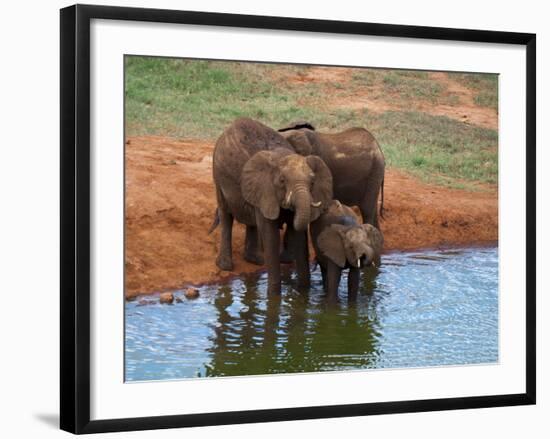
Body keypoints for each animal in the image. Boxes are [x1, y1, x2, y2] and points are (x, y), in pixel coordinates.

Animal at [211, 118, 332, 294]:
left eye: (312, 182)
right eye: (282, 181)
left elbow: (298, 234)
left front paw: (303, 292)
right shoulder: (266, 189)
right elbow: (270, 233)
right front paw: (274, 296)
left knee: (251, 220)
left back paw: (256, 260)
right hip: (218, 176)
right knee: (226, 214)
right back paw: (225, 266)